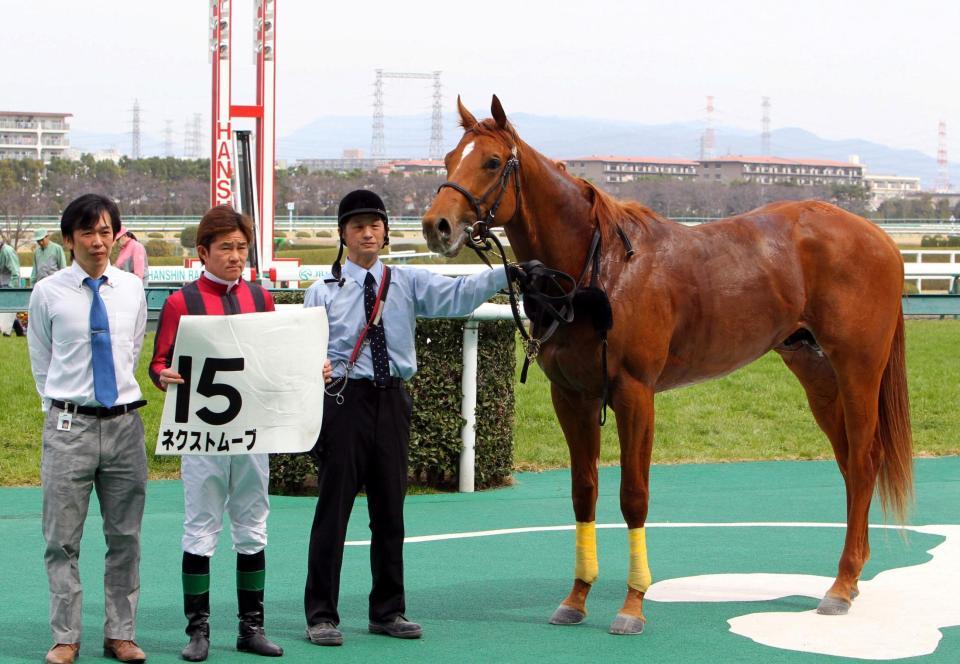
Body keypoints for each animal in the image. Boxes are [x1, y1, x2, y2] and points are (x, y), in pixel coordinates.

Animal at [421, 96, 913, 635]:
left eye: (491, 161)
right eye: (448, 159)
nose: (436, 226)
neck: (601, 270)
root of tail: (879, 239)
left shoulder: (635, 394)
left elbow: (633, 496)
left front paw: (633, 605)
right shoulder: (572, 396)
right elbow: (584, 492)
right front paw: (576, 598)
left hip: (857, 369)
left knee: (864, 461)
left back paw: (841, 587)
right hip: (814, 370)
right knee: (848, 464)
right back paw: (851, 577)